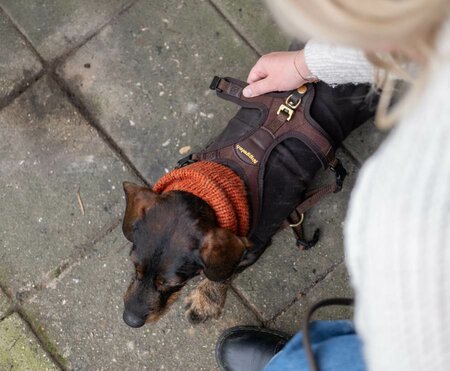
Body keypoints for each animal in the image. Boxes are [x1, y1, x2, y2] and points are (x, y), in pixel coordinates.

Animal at [120, 79, 376, 328]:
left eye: (172, 283)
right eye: (134, 266)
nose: (130, 321)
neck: (215, 186)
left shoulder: (253, 248)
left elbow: (224, 275)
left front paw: (205, 302)